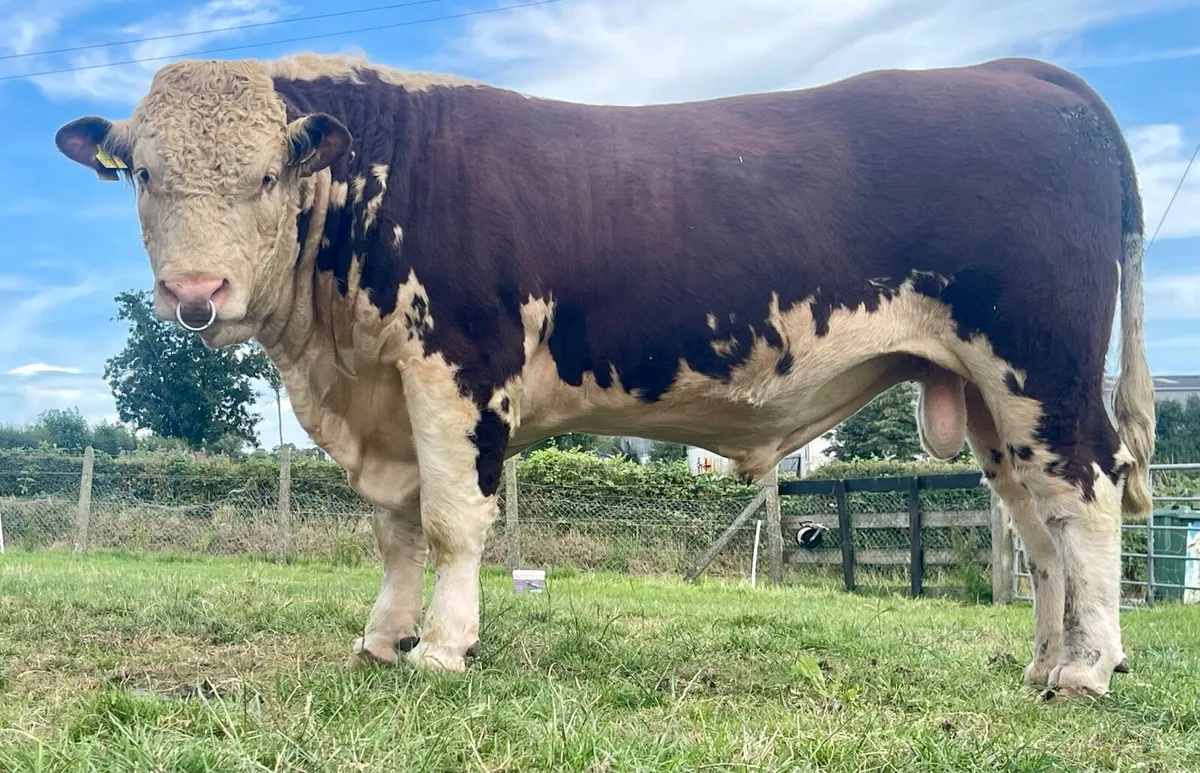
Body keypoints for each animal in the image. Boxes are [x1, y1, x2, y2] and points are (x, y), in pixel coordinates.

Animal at [54, 52, 1155, 699]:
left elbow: (451, 521)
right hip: (992, 394)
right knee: (1035, 522)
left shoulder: (458, 367)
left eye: (267, 174)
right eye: (144, 173)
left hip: (1040, 358)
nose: (196, 291)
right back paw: (1044, 660)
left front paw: (443, 647)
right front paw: (382, 637)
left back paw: (1089, 666)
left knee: (1087, 491)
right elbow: (396, 526)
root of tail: (1016, 74)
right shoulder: (386, 394)